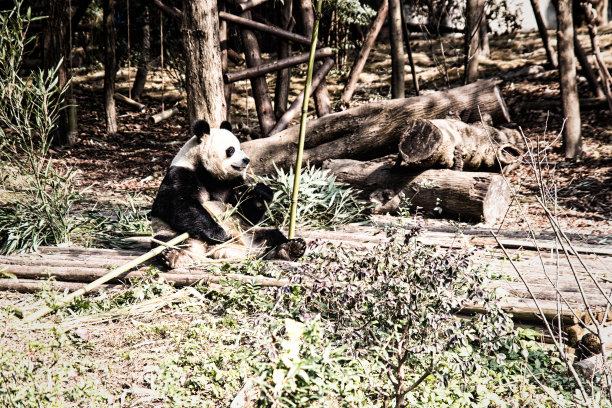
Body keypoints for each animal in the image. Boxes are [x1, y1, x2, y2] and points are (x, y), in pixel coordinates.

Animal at [151, 118, 306, 268]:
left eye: (240, 148)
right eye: (231, 150)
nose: (246, 160)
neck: (208, 173)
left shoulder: (232, 183)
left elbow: (246, 213)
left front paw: (261, 193)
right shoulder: (180, 173)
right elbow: (180, 204)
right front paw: (218, 234)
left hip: (246, 233)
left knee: (270, 237)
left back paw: (291, 248)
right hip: (172, 232)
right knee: (165, 242)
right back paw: (175, 256)